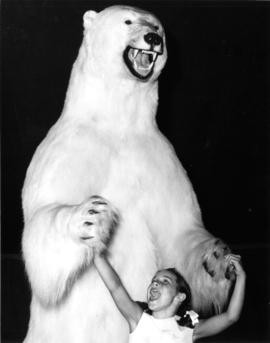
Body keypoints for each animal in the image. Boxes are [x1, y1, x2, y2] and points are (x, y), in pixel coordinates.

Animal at [22, 5, 235, 343]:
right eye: (128, 21)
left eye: (157, 26)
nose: (153, 38)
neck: (116, 122)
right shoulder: (65, 150)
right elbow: (42, 224)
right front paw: (88, 217)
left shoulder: (162, 159)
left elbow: (178, 226)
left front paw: (215, 258)